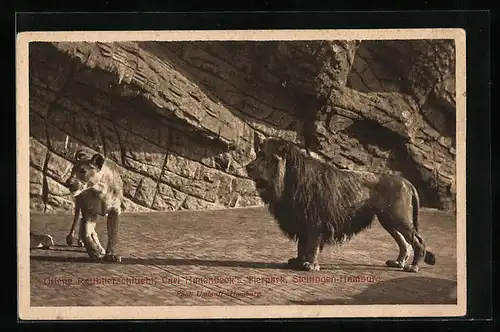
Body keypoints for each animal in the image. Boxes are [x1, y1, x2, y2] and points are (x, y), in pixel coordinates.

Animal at [245, 137, 434, 272]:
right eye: (257, 154)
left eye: (263, 156)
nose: (247, 167)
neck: (289, 179)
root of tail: (407, 182)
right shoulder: (301, 220)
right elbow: (301, 245)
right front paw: (299, 262)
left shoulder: (316, 222)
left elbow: (311, 245)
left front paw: (310, 265)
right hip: (388, 219)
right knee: (404, 243)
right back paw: (398, 263)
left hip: (398, 218)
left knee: (418, 241)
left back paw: (413, 267)